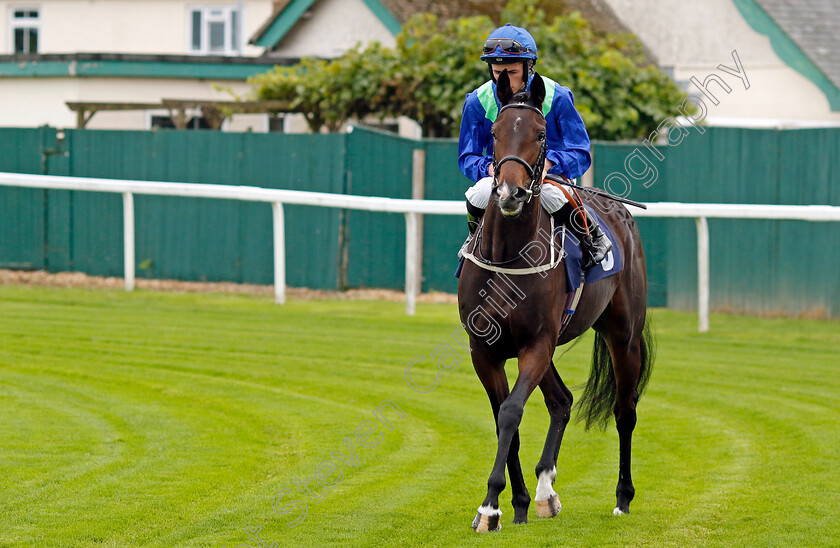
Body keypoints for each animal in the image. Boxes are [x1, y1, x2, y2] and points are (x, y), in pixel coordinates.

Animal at [456, 70, 652, 532]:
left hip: (622, 335)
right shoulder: (485, 350)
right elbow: (503, 419)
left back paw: (622, 497)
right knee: (561, 402)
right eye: (494, 132)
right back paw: (545, 492)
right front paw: (514, 504)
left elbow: (511, 412)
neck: (507, 257)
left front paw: (489, 505)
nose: (509, 193)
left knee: (624, 411)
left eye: (541, 133)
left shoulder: (536, 344)